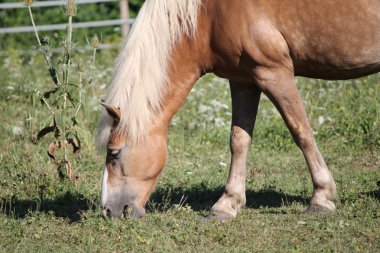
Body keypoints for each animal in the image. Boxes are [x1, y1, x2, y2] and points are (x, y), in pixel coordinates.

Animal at [98, 0, 380, 218]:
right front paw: (227, 204)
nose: (109, 211)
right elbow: (239, 140)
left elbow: (301, 131)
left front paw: (321, 198)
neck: (208, 13)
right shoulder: (243, 79)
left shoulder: (274, 73)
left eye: (113, 153)